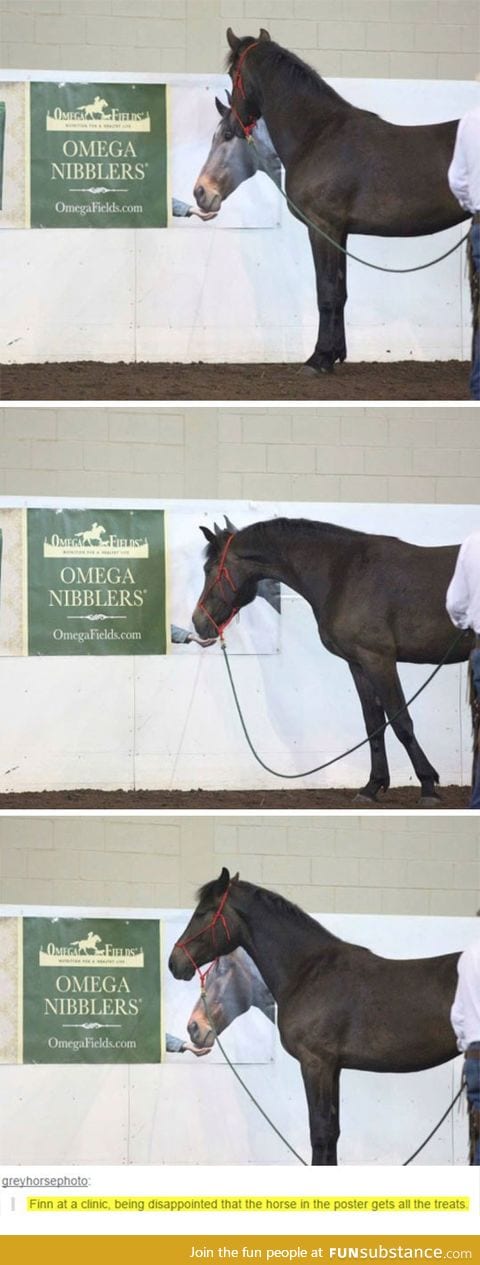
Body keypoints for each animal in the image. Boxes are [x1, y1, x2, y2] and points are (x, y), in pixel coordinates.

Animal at [169, 870, 463, 1163]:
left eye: (202, 913)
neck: (308, 971)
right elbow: (332, 1132)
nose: (174, 962)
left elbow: (320, 1132)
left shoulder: (316, 1063)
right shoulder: (334, 1067)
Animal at [192, 516, 473, 799]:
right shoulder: (359, 663)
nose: (198, 622)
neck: (344, 573)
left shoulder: (379, 660)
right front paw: (372, 786)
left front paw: (428, 785)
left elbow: (401, 721)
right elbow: (373, 724)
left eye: (208, 569)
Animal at [195, 28, 471, 374]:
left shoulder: (322, 227)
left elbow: (325, 291)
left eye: (233, 74)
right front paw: (336, 353)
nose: (233, 119)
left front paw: (318, 358)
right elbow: (340, 292)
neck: (317, 134)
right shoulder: (340, 233)